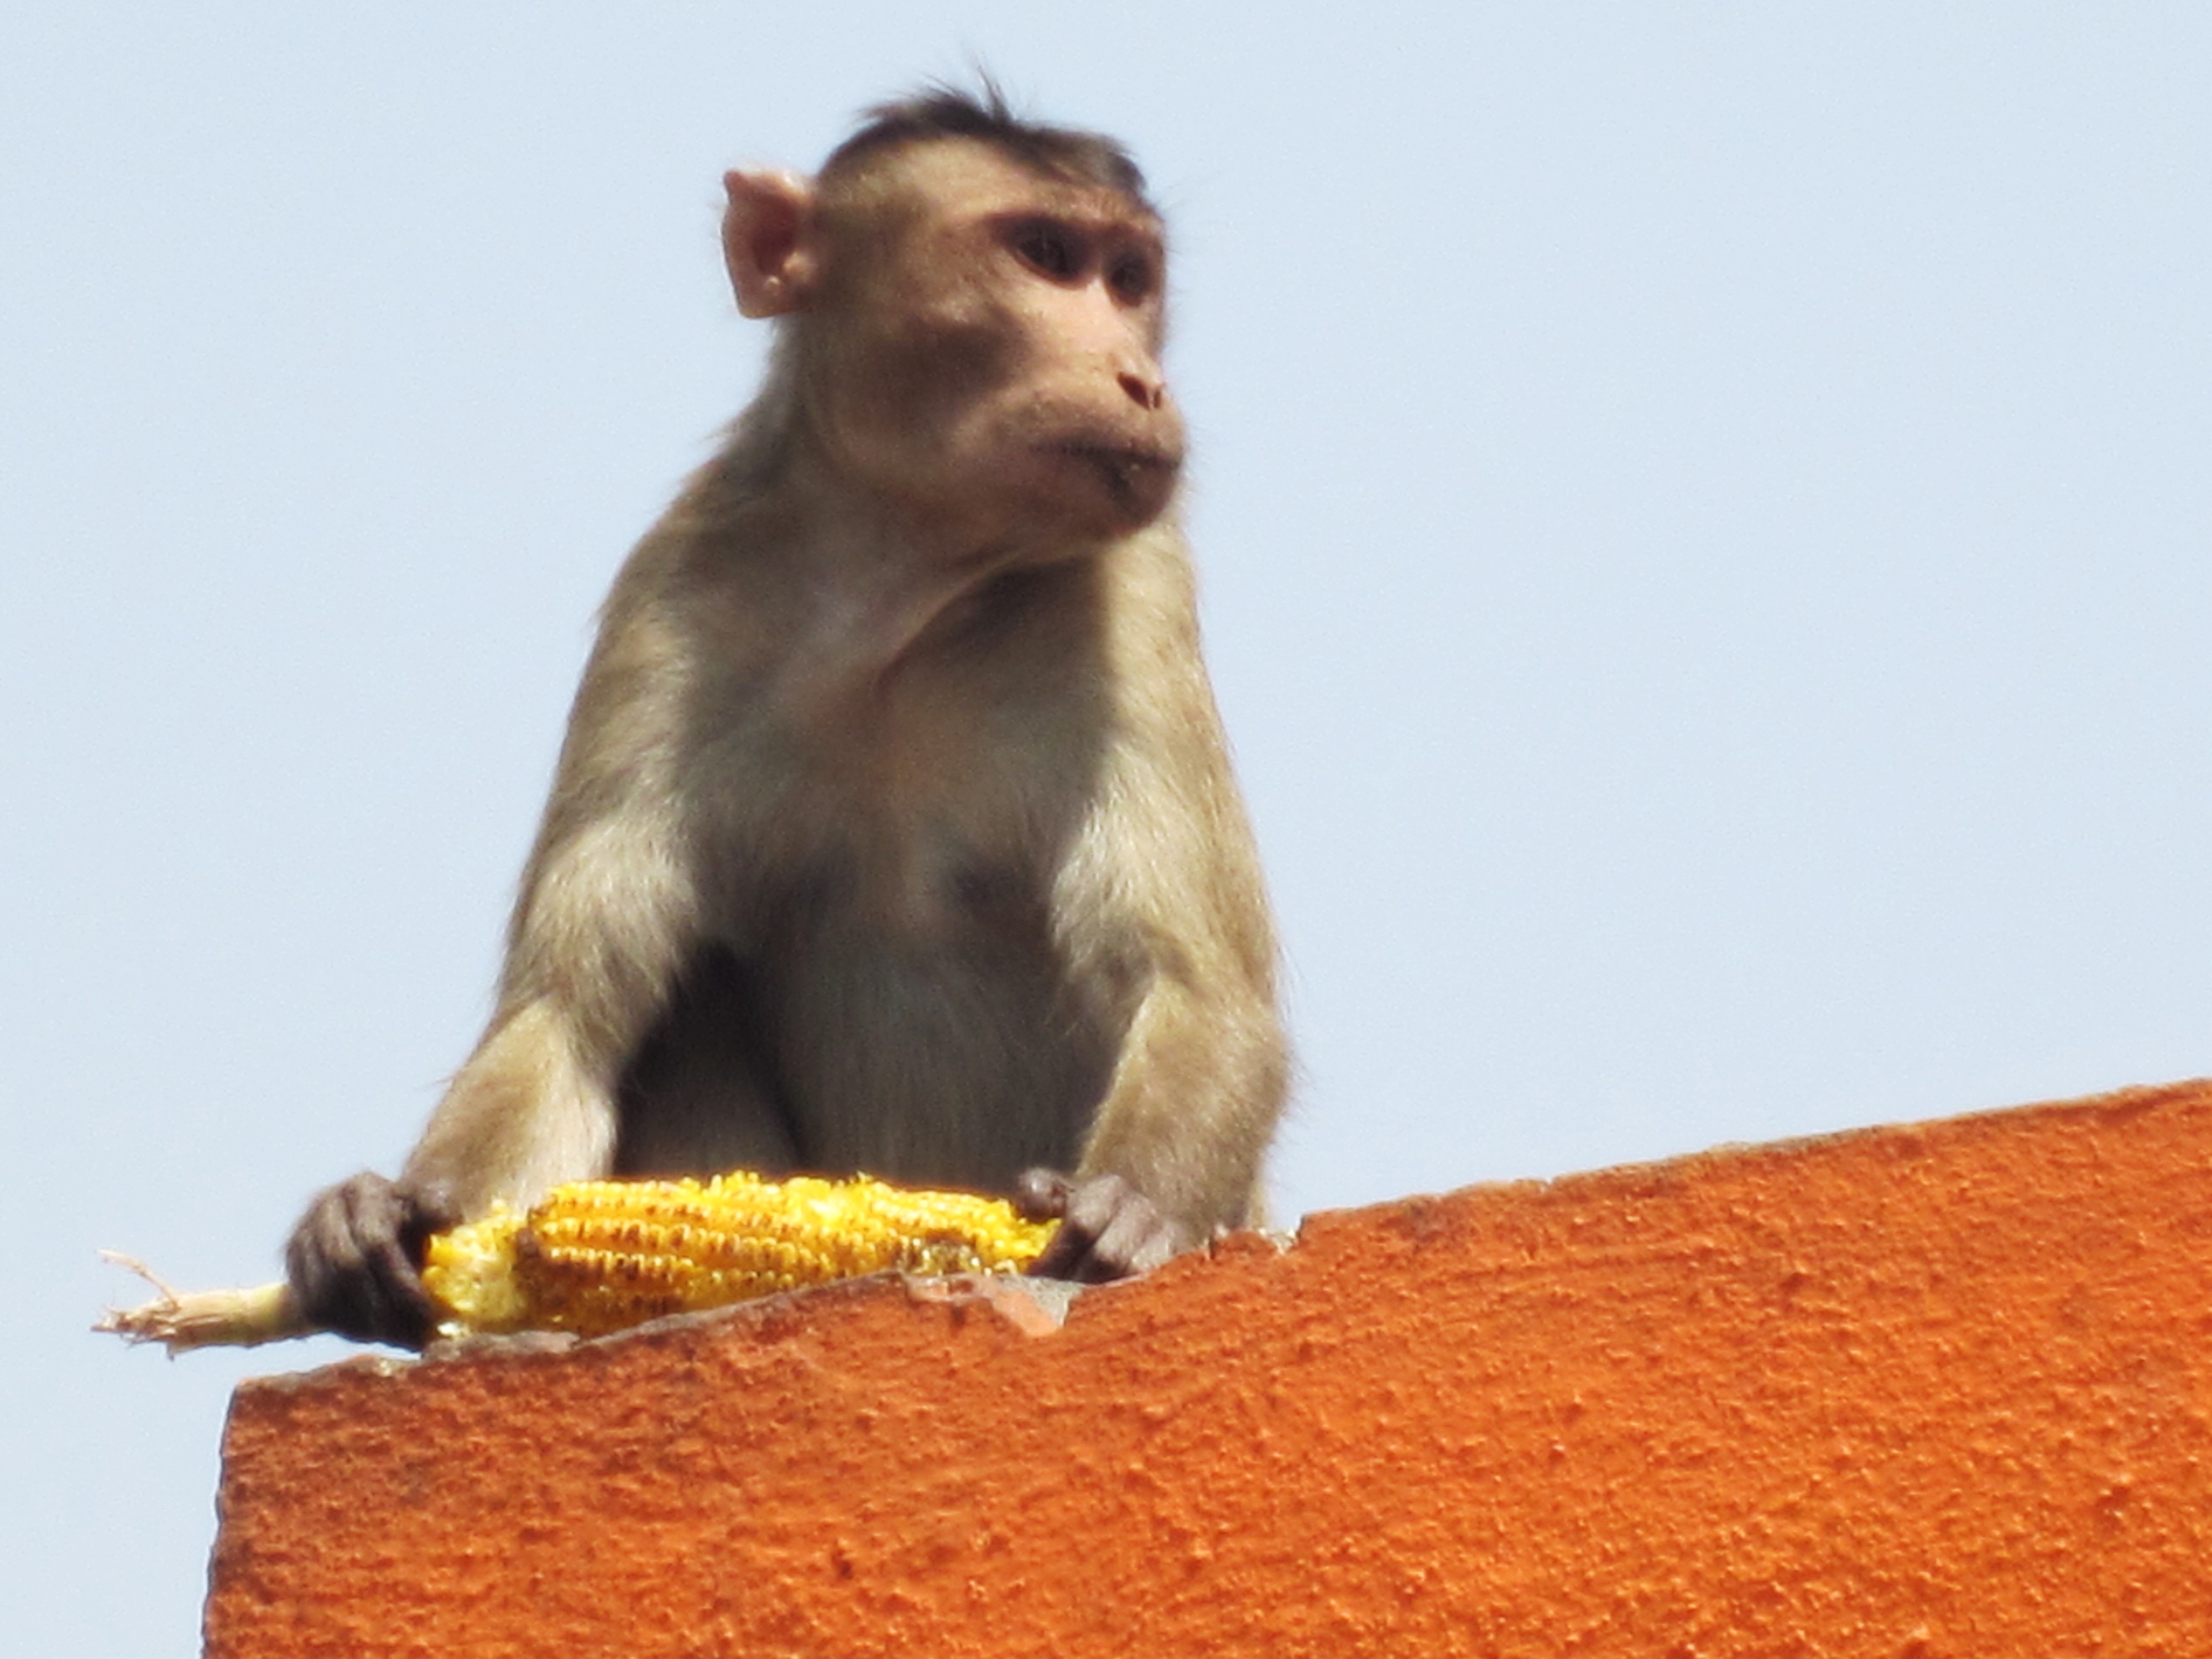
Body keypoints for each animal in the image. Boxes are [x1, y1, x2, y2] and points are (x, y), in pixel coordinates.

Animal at [294, 88, 1292, 1354]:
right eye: (1043, 254)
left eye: (1129, 277)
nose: (1138, 379)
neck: (899, 590)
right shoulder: (669, 604)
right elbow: (569, 1013)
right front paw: (385, 1220)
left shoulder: (1139, 600)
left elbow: (1202, 990)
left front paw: (1134, 1206)